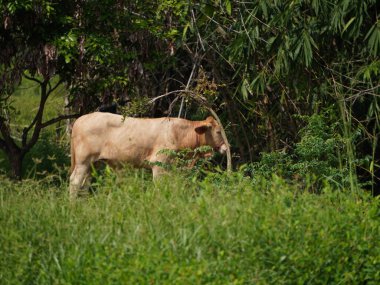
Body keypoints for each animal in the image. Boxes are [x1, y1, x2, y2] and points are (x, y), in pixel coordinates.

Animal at [69, 111, 227, 197]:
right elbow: (160, 187)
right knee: (75, 182)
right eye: (218, 131)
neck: (179, 134)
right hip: (83, 161)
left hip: (93, 163)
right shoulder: (159, 164)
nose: (226, 148)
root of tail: (81, 119)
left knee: (85, 183)